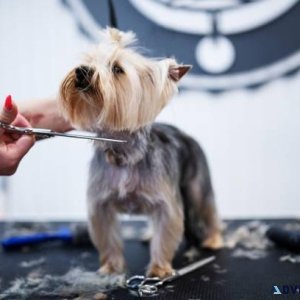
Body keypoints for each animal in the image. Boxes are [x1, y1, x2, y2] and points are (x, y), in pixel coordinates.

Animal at [59, 28, 223, 278]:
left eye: (117, 69)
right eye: (89, 61)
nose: (82, 71)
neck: (123, 153)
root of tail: (185, 135)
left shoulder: (166, 203)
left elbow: (164, 235)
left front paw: (159, 269)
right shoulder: (100, 205)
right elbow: (108, 238)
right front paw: (111, 267)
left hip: (197, 182)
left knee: (207, 207)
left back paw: (214, 239)